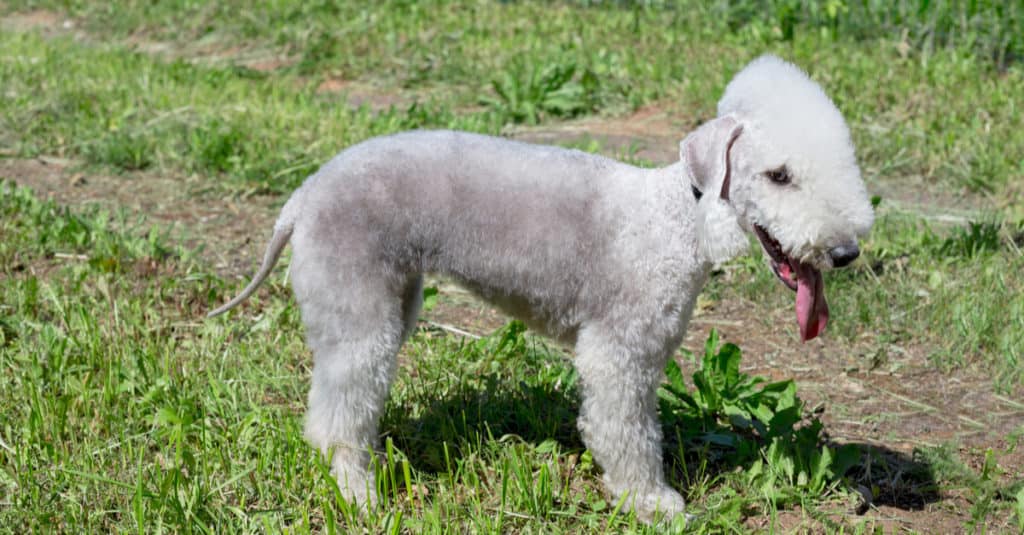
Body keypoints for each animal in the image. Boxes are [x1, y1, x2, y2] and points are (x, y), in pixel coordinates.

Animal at [207, 56, 872, 518]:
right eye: (778, 175)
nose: (845, 251)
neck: (679, 217)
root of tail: (302, 197)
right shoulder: (619, 353)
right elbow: (626, 432)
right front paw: (650, 503)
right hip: (357, 309)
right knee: (337, 416)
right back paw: (358, 493)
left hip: (395, 296)